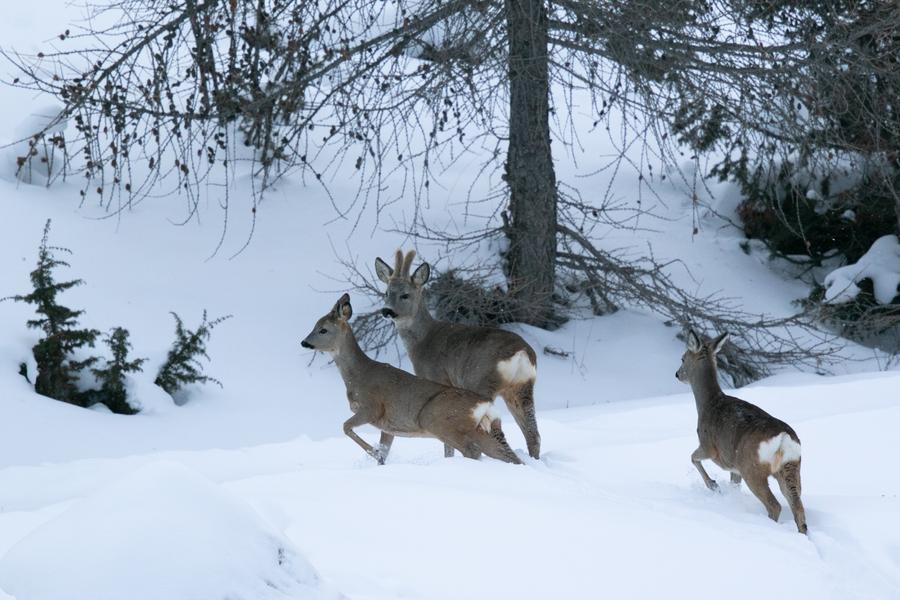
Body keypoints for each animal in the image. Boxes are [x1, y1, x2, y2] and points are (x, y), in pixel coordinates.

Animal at [298, 292, 520, 466]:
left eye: (323, 329)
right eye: (315, 325)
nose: (304, 342)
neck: (358, 376)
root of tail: (486, 405)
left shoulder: (372, 407)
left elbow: (345, 427)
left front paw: (374, 452)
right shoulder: (388, 426)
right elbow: (383, 449)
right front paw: (380, 458)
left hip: (438, 420)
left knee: (473, 451)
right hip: (479, 429)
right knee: (507, 455)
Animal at [372, 250, 540, 460]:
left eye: (405, 295)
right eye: (386, 293)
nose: (386, 310)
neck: (422, 341)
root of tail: (521, 353)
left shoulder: (437, 379)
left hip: (481, 382)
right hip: (521, 388)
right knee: (533, 433)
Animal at [676, 328, 808, 536]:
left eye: (683, 358)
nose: (677, 374)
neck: (707, 404)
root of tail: (784, 439)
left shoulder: (709, 446)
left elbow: (692, 457)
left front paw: (713, 485)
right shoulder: (734, 467)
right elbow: (733, 485)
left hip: (752, 468)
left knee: (774, 505)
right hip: (791, 466)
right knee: (798, 507)